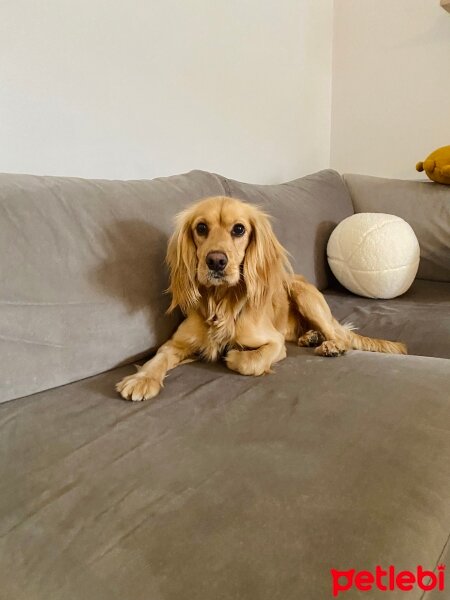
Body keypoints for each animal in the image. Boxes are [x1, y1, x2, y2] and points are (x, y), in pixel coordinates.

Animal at [117, 198, 408, 404]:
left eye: (239, 229)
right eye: (201, 228)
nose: (216, 261)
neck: (221, 302)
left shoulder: (274, 343)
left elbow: (248, 361)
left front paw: (233, 355)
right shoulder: (176, 343)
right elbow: (157, 359)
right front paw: (141, 380)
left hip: (303, 293)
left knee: (341, 336)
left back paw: (330, 345)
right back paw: (310, 337)